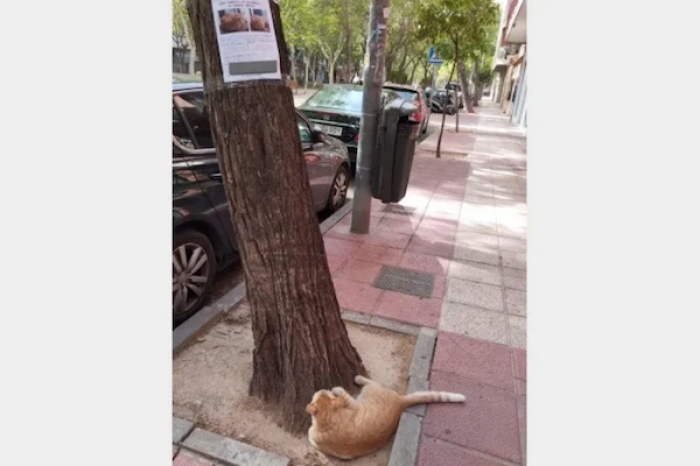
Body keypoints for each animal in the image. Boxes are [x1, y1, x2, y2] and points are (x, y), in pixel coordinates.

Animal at [306, 374, 464, 458]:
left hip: (370, 390)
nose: (323, 387)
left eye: (323, 391)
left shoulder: (351, 404)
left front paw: (336, 388)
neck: (328, 422)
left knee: (371, 382)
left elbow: (343, 394)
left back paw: (358, 378)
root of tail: (400, 402)